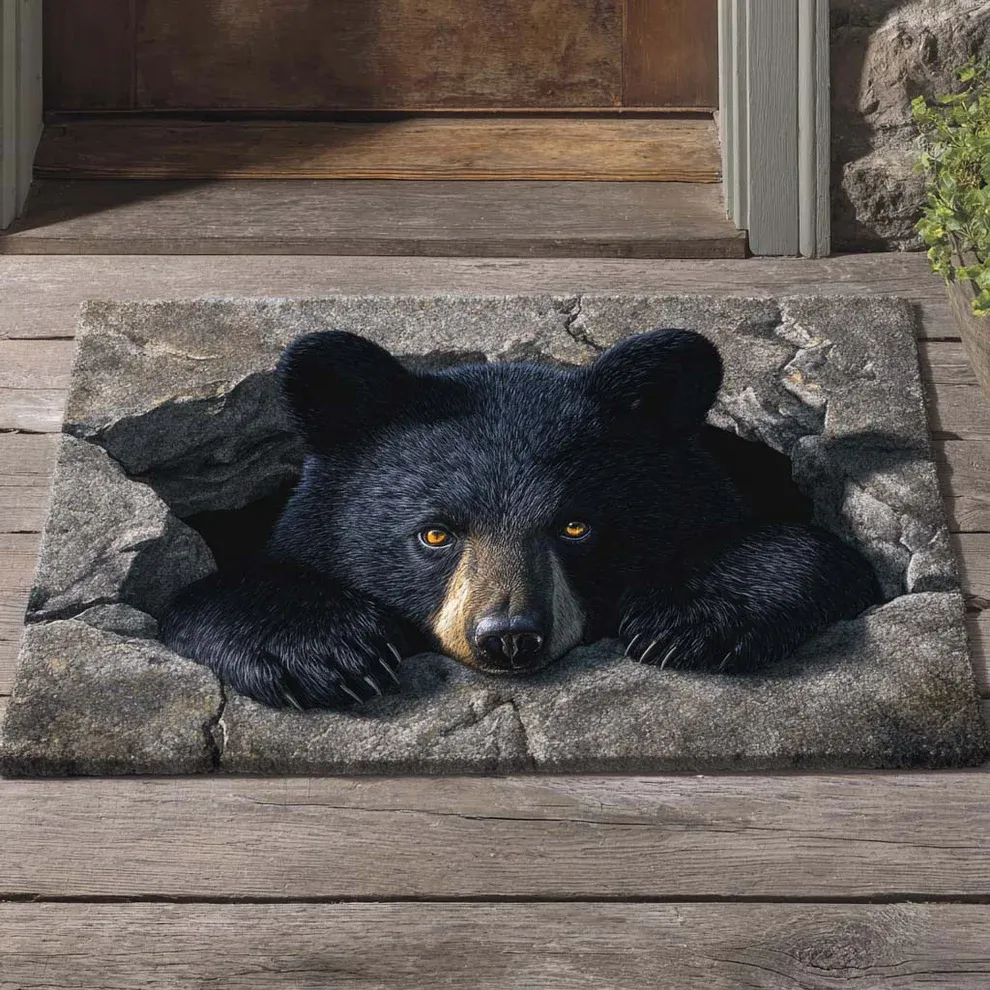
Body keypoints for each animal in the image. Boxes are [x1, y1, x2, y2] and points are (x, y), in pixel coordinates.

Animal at [159, 327, 881, 710]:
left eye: (575, 527)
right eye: (435, 533)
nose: (507, 636)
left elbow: (816, 554)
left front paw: (687, 622)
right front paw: (326, 652)